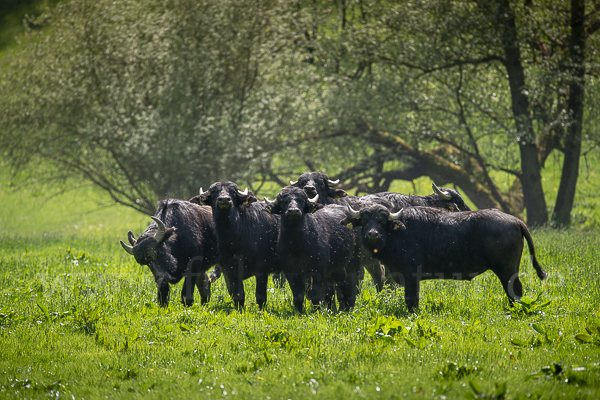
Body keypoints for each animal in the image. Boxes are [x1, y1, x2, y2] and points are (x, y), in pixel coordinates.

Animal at [190, 181, 278, 310]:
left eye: (233, 192)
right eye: (214, 191)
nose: (224, 200)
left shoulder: (262, 270)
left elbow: (260, 296)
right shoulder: (230, 269)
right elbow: (238, 295)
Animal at [340, 205, 548, 310]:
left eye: (382, 221)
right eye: (365, 220)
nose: (372, 234)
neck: (399, 233)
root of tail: (516, 221)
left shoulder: (411, 275)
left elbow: (411, 299)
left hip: (507, 270)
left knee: (515, 291)